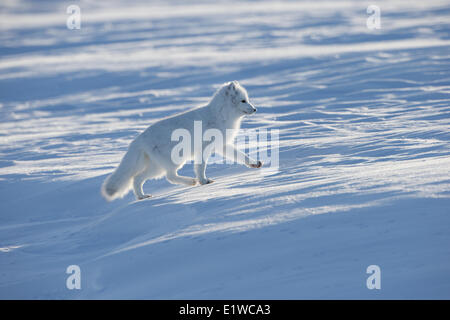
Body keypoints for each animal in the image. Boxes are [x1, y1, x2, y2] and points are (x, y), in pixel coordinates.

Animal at [101, 80, 264, 200]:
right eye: (243, 101)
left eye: (247, 100)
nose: (255, 109)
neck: (219, 115)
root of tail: (138, 140)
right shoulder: (204, 148)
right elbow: (200, 167)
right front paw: (204, 181)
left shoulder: (221, 145)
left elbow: (241, 155)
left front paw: (254, 163)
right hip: (173, 161)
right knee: (169, 176)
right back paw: (191, 181)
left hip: (157, 165)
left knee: (137, 178)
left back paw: (142, 196)